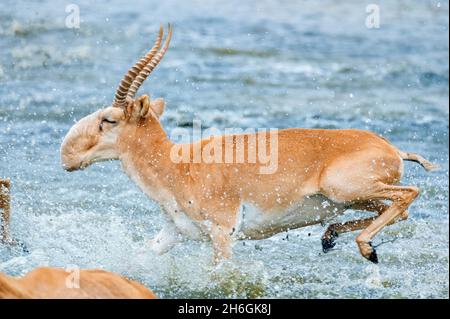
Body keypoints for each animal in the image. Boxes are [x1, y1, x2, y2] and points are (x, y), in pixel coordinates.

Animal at [59, 25, 436, 264]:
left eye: (109, 119)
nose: (67, 156)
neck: (177, 165)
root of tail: (392, 150)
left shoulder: (222, 234)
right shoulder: (172, 234)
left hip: (346, 190)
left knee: (408, 194)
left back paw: (366, 249)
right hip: (352, 199)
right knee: (396, 210)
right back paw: (331, 239)